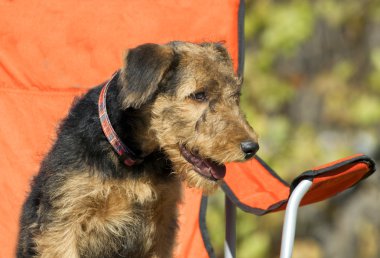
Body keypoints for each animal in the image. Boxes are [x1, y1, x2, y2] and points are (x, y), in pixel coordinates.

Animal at [16, 41, 260, 256]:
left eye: (235, 96)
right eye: (199, 95)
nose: (252, 147)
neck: (131, 159)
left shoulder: (162, 222)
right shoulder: (64, 222)